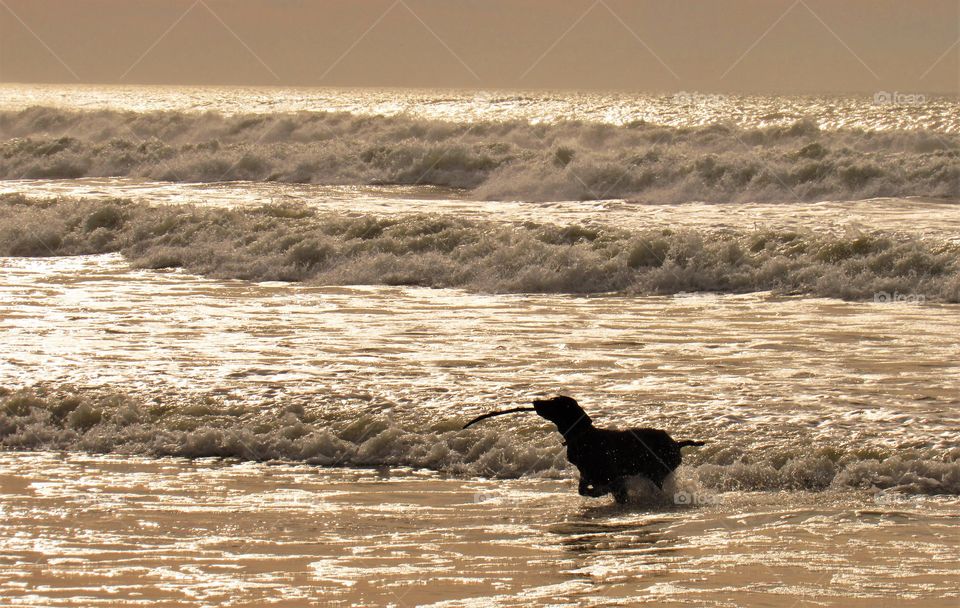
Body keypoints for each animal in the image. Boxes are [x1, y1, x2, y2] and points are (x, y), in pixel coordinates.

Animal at [464, 394, 704, 504]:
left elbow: (608, 488)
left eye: (554, 401)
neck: (583, 436)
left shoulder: (610, 475)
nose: (535, 401)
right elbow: (584, 489)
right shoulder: (587, 474)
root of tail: (677, 443)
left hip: (657, 473)